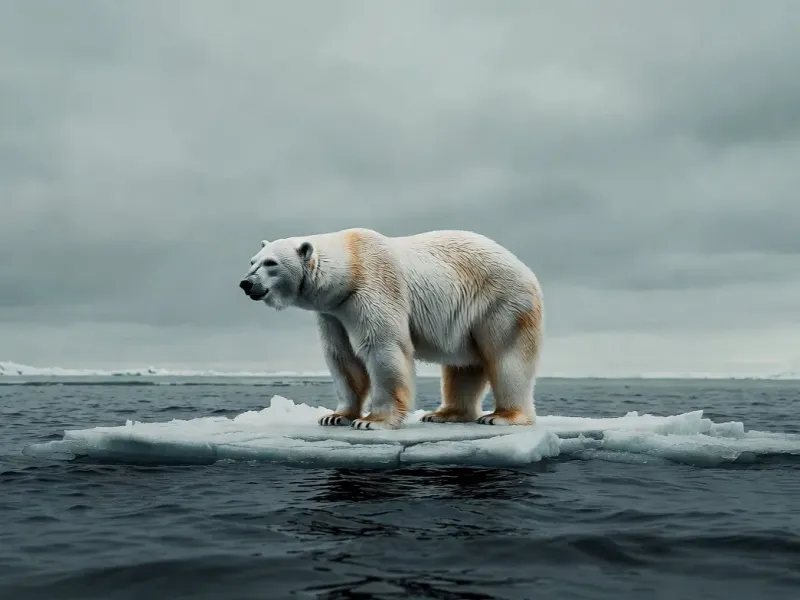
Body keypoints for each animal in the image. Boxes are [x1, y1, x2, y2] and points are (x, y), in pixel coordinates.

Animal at [239, 228, 544, 431]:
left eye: (271, 263)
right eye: (252, 260)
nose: (246, 283)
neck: (351, 265)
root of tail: (523, 266)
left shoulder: (373, 288)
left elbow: (381, 347)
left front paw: (371, 421)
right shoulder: (333, 313)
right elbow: (342, 358)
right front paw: (335, 416)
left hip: (501, 302)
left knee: (506, 356)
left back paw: (502, 416)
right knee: (464, 364)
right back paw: (445, 414)